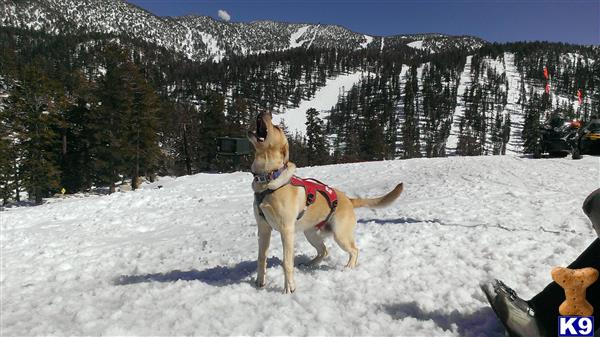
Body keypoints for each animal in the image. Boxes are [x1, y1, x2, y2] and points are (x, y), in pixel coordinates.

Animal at [248, 110, 404, 292]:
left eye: (277, 127)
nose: (264, 112)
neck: (268, 179)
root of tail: (349, 200)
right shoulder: (263, 228)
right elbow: (261, 257)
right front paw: (259, 282)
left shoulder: (286, 230)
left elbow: (287, 263)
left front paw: (289, 288)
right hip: (311, 233)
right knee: (324, 251)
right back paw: (309, 264)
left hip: (340, 235)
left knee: (354, 250)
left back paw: (348, 267)